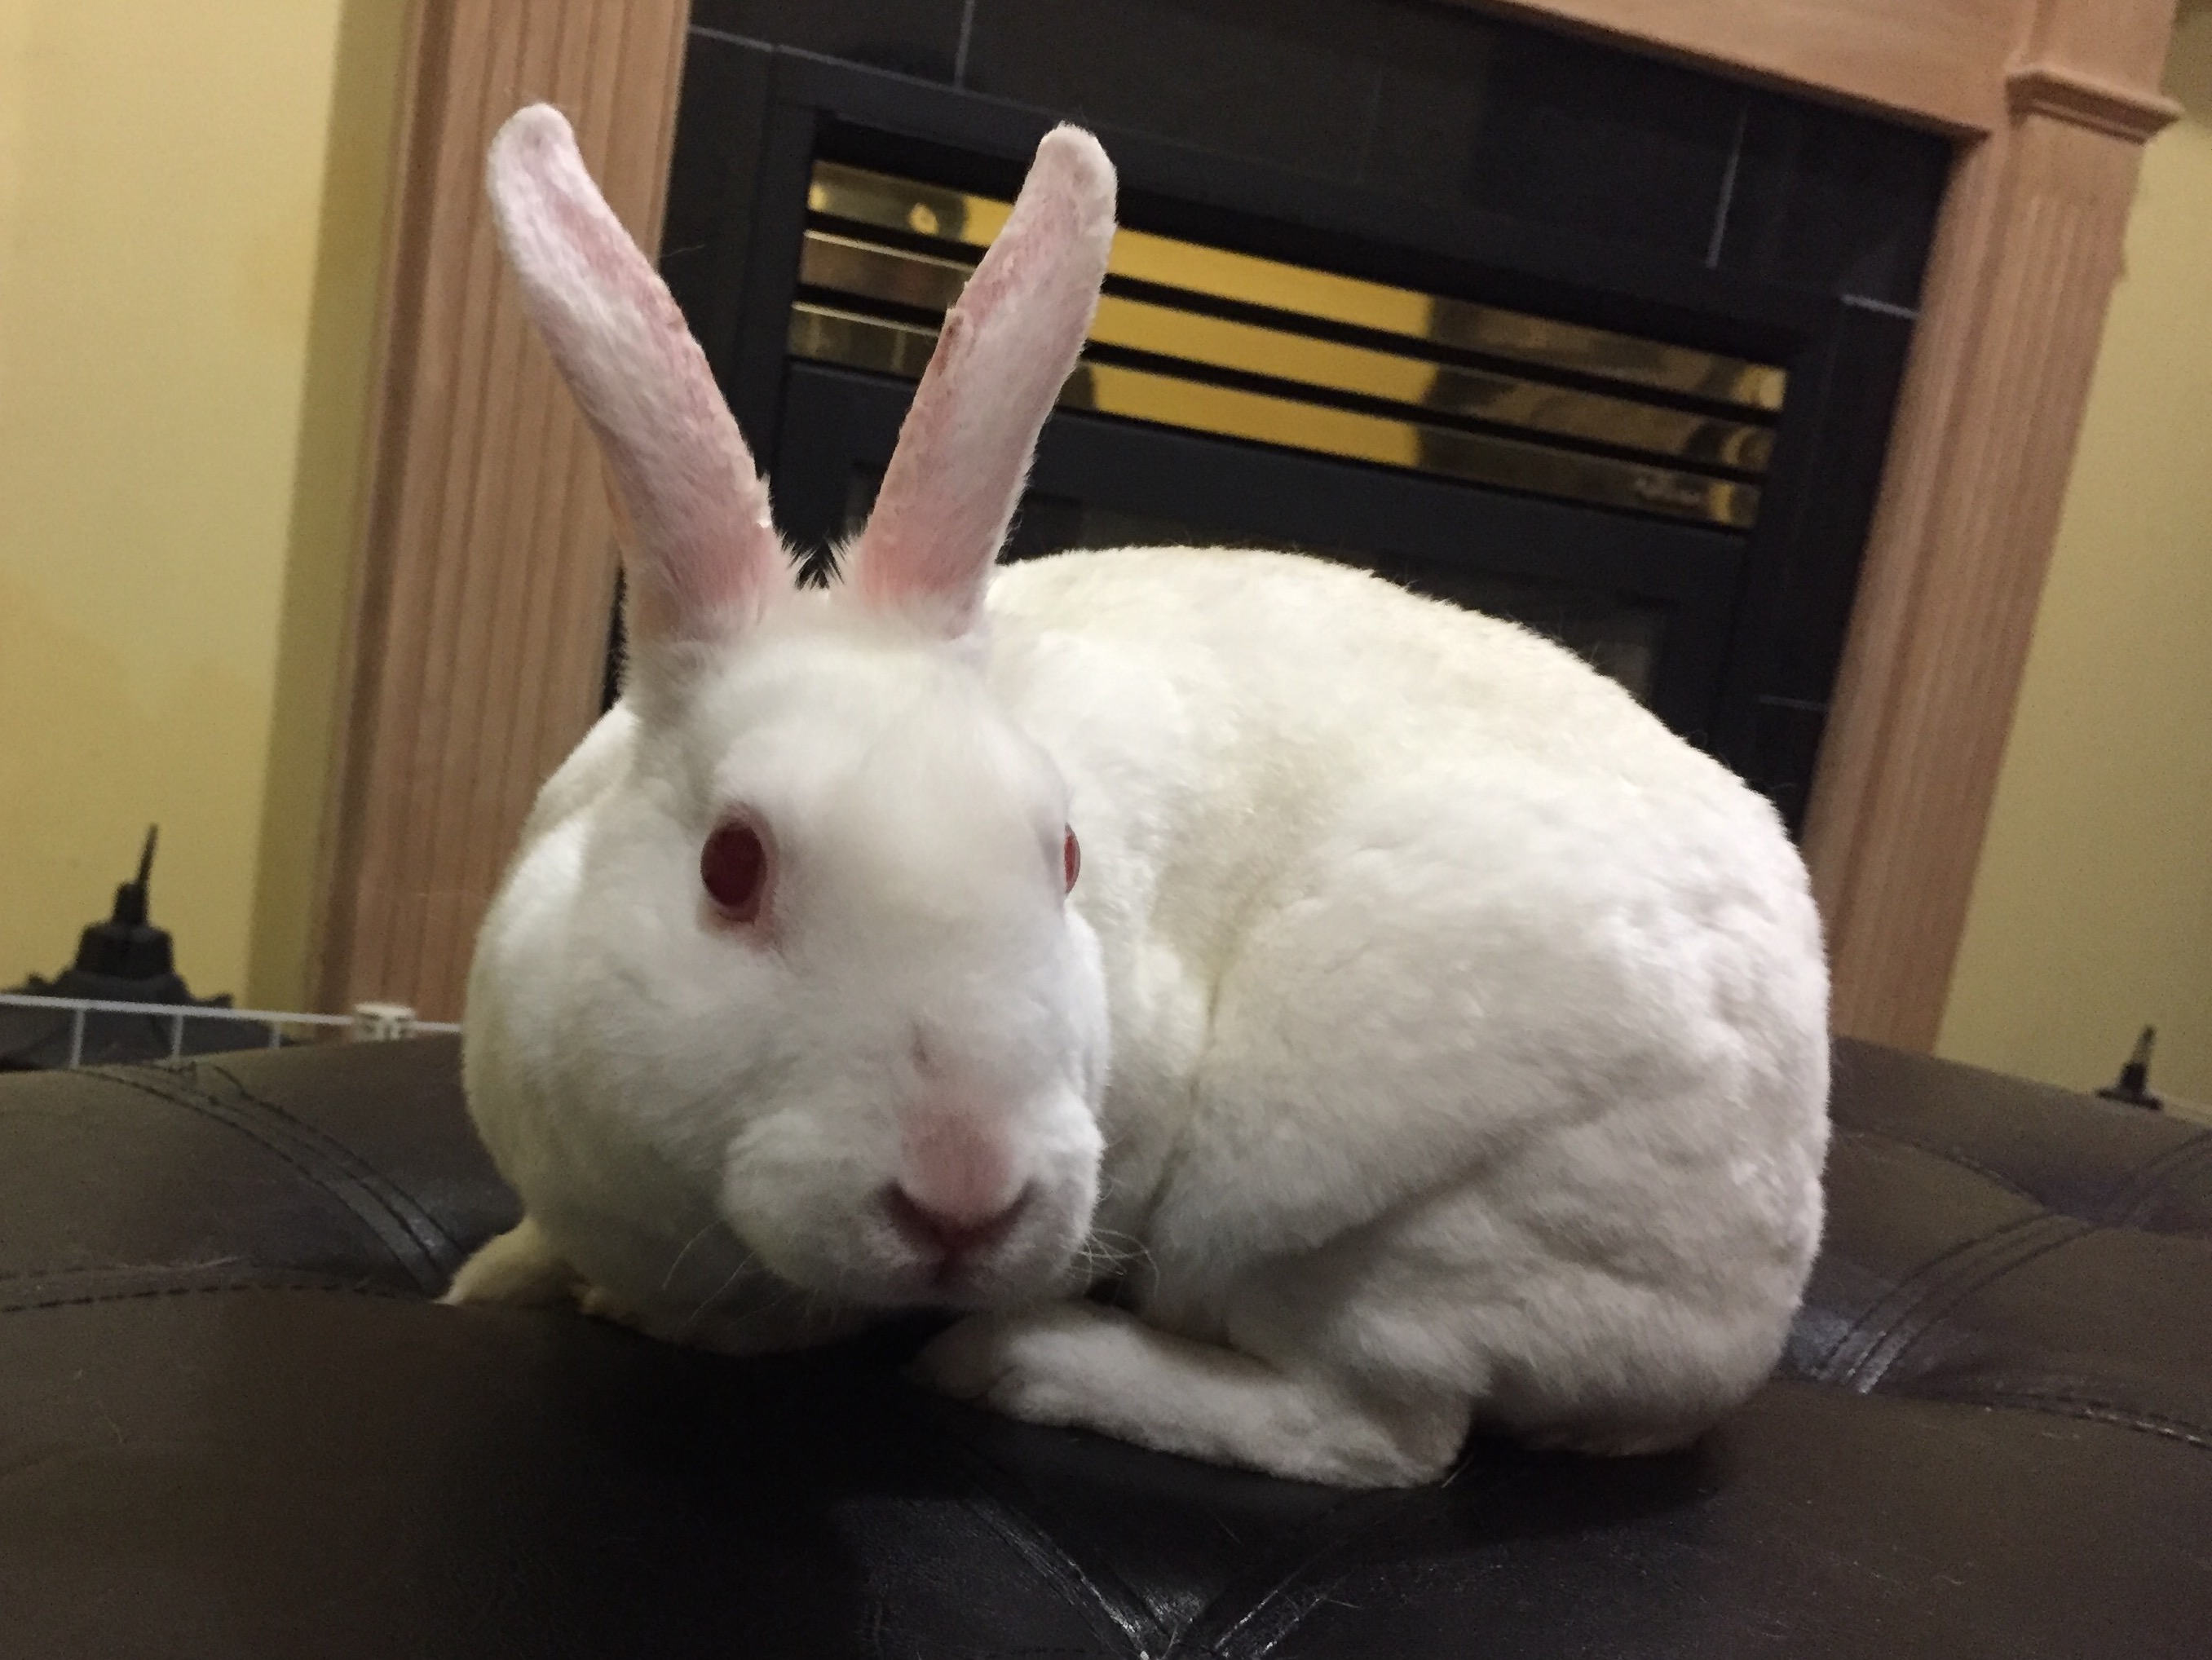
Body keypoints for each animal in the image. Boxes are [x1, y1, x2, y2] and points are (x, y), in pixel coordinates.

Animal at [444, 102, 1831, 1490]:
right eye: (730, 868)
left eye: (1062, 858)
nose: (966, 1201)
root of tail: (1739, 1325)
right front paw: (493, 1280)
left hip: (1380, 1223)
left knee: (1379, 1429)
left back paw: (1022, 1362)